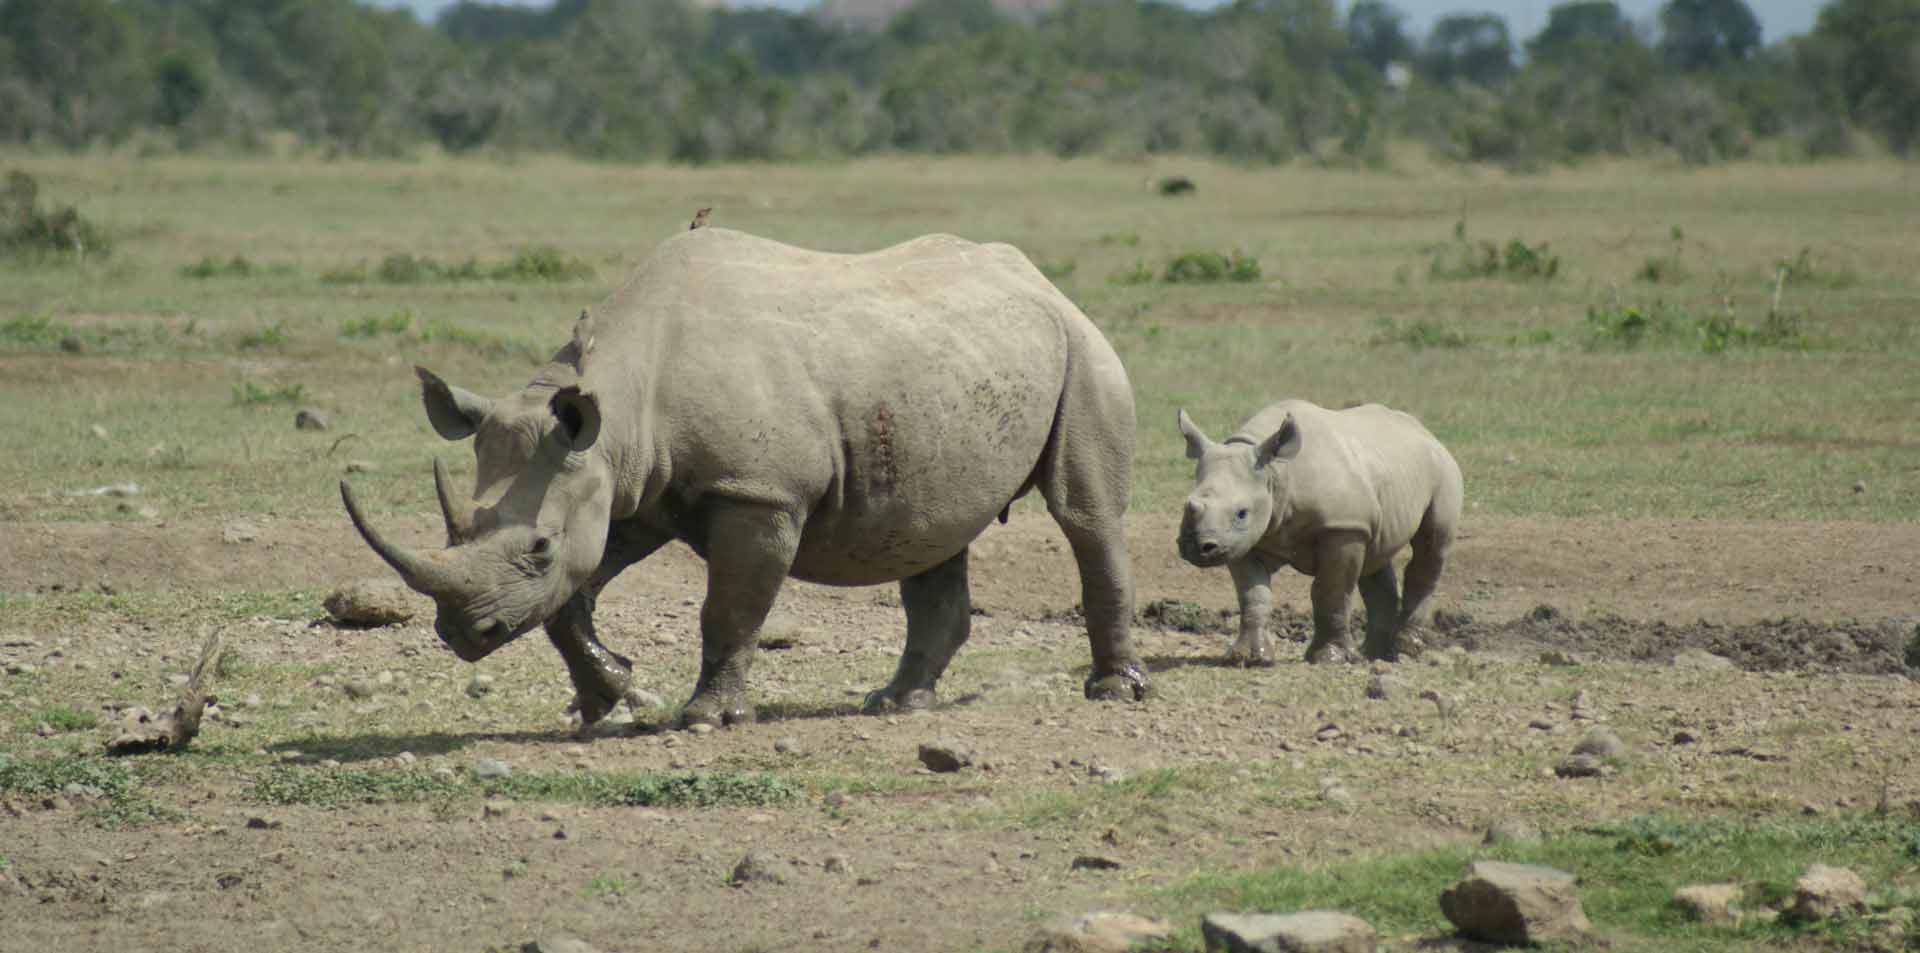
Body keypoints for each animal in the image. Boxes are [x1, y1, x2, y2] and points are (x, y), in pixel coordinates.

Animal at [341, 227, 1148, 728]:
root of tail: (1039, 278)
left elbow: (727, 610)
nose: (462, 633)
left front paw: (707, 719)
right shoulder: (627, 487)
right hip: (947, 368)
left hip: (1083, 347)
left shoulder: (758, 493)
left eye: (537, 547)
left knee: (1085, 515)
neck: (622, 398)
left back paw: (1112, 692)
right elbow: (571, 602)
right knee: (930, 530)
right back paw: (895, 704)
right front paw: (610, 697)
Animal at [1175, 400, 1462, 665]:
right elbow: (1253, 594)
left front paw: (1328, 658)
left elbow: (1330, 591)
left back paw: (1407, 648)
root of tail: (1427, 433)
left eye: (1242, 513)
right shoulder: (1243, 540)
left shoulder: (1342, 527)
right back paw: (1373, 654)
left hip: (1443, 469)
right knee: (1376, 554)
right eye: (1188, 505)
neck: (1276, 473)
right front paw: (1247, 657)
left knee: (1432, 544)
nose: (1198, 547)